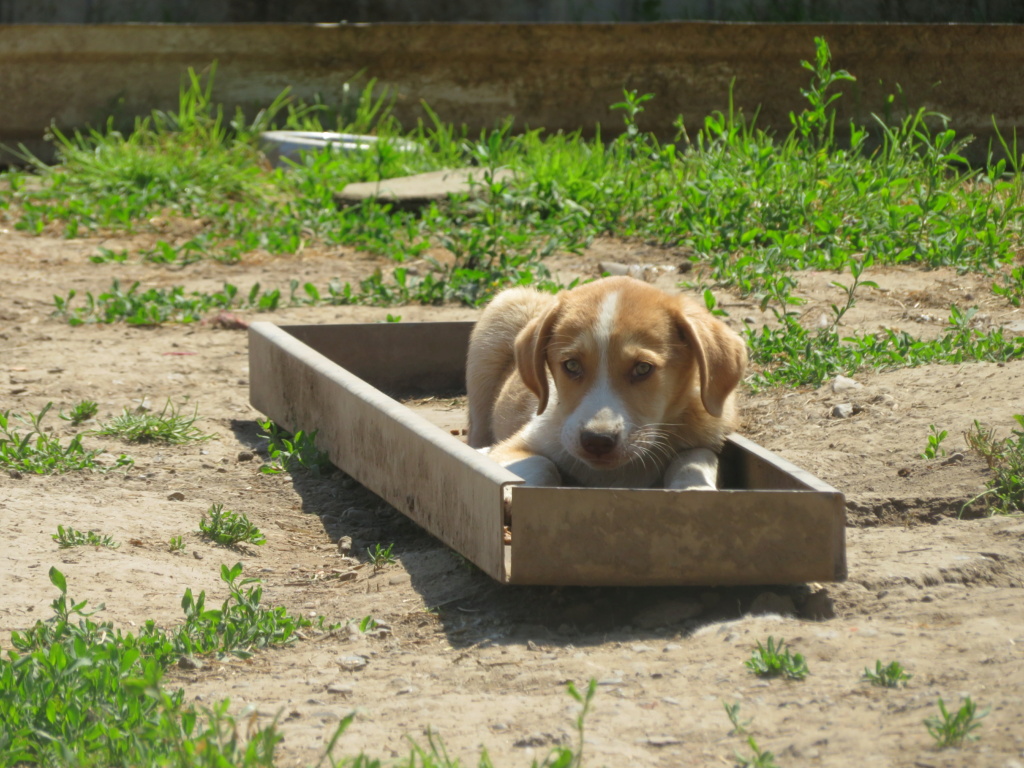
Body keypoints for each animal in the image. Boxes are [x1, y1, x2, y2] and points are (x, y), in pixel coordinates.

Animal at [468, 276, 749, 489]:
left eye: (643, 368)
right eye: (571, 365)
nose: (597, 440)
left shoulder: (710, 437)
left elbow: (693, 460)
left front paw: (694, 488)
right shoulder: (513, 448)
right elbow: (542, 465)